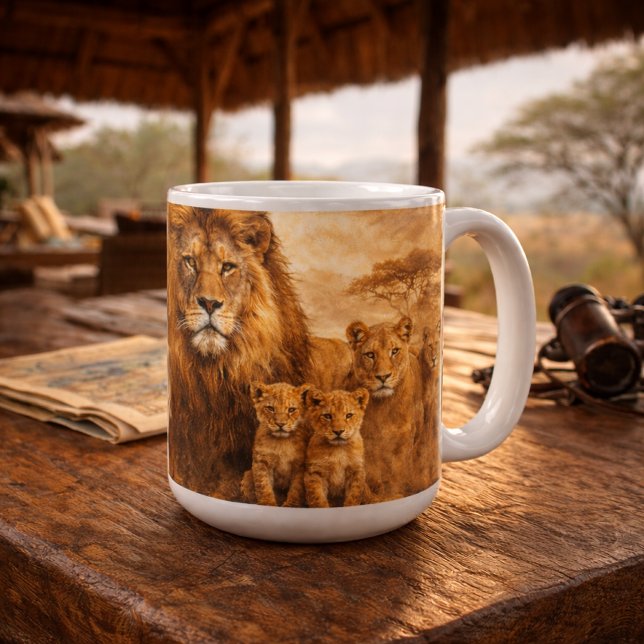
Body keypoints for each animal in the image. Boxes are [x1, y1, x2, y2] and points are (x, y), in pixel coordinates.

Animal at [345, 316, 437, 501]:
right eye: (370, 355)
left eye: (394, 351)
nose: (383, 376)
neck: (383, 408)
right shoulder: (366, 443)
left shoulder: (403, 444)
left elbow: (396, 475)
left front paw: (395, 495)